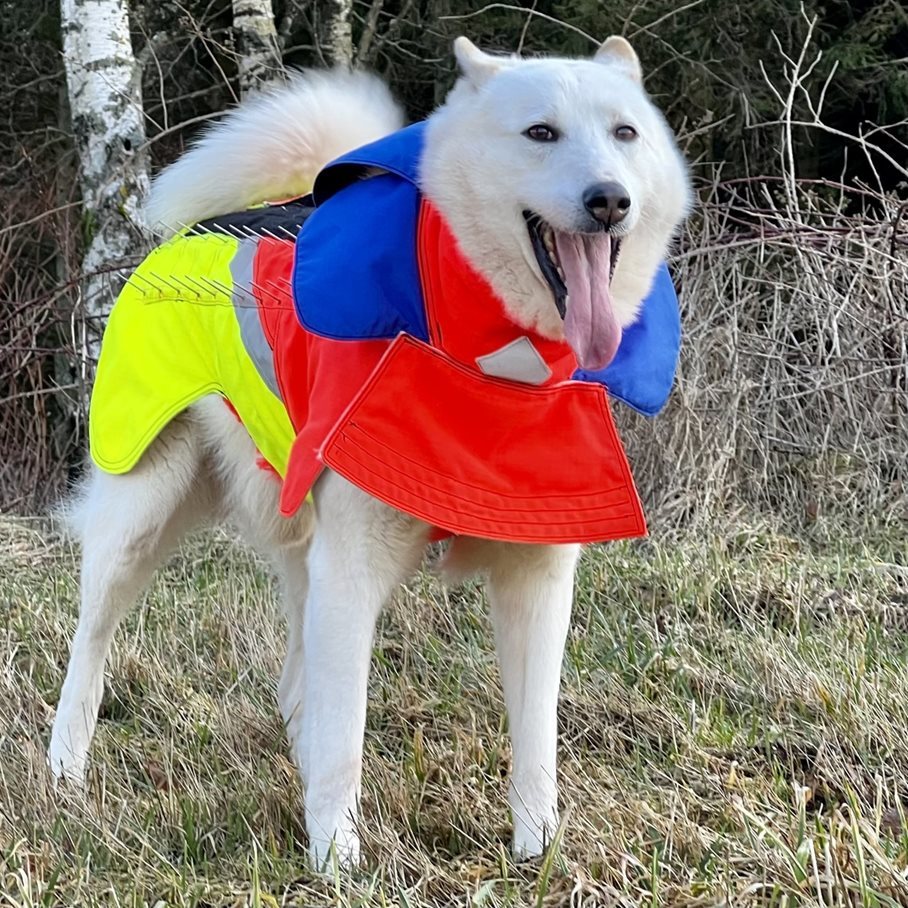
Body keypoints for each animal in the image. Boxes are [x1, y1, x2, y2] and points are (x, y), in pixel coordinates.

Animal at [48, 36, 691, 866]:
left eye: (625, 134)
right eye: (541, 133)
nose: (610, 199)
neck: (489, 360)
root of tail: (201, 231)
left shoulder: (536, 579)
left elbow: (535, 737)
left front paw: (537, 851)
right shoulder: (353, 570)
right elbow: (345, 734)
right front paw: (338, 860)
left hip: (298, 539)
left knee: (298, 681)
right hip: (142, 514)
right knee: (91, 646)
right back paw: (65, 771)